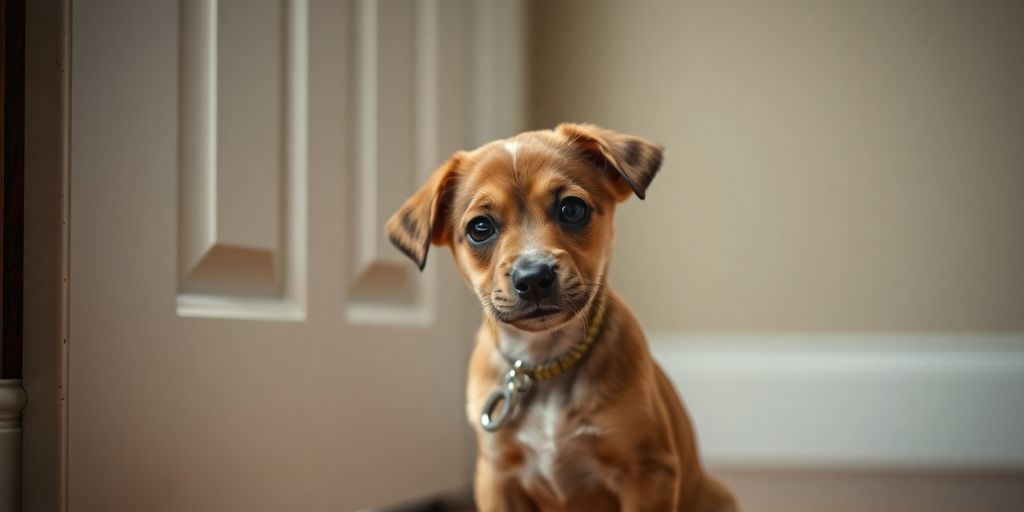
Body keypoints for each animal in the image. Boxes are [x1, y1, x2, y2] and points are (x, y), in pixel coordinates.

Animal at [385, 121, 737, 509]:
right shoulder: (496, 476)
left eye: (571, 209)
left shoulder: (647, 470)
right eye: (480, 228)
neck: (545, 360)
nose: (533, 278)